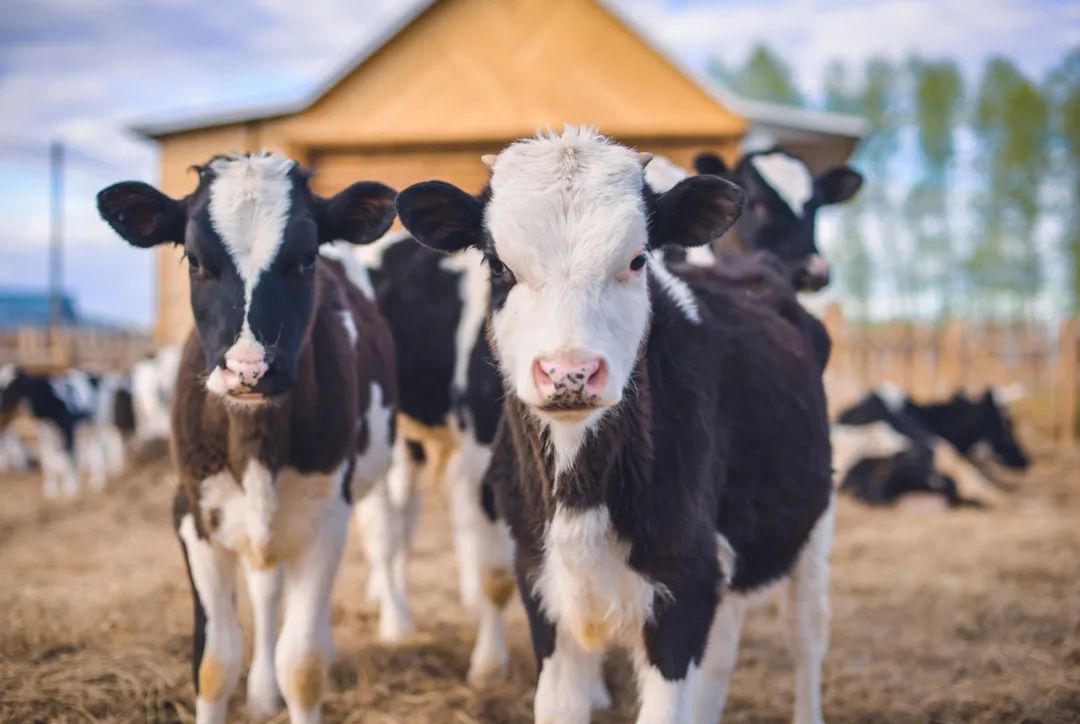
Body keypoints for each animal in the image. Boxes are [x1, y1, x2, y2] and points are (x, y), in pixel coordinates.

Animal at [0, 365, 133, 497]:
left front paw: (70, 488)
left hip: (102, 421)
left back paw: (104, 477)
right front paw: (50, 489)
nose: (2, 405)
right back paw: (96, 480)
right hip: (89, 427)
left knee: (108, 443)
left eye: (14, 385)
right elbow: (48, 460)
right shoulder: (45, 432)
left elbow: (68, 457)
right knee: (95, 448)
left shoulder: (68, 428)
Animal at [97, 150, 399, 721]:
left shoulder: (328, 515)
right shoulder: (192, 512)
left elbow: (301, 666)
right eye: (194, 259)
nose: (249, 370)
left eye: (306, 259)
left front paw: (300, 672)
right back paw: (260, 693)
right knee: (264, 590)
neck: (255, 440)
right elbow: (214, 664)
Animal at [397, 127, 833, 724]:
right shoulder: (543, 588)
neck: (580, 494)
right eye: (497, 264)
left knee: (806, 636)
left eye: (637, 259)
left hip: (812, 523)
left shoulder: (683, 590)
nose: (570, 372)